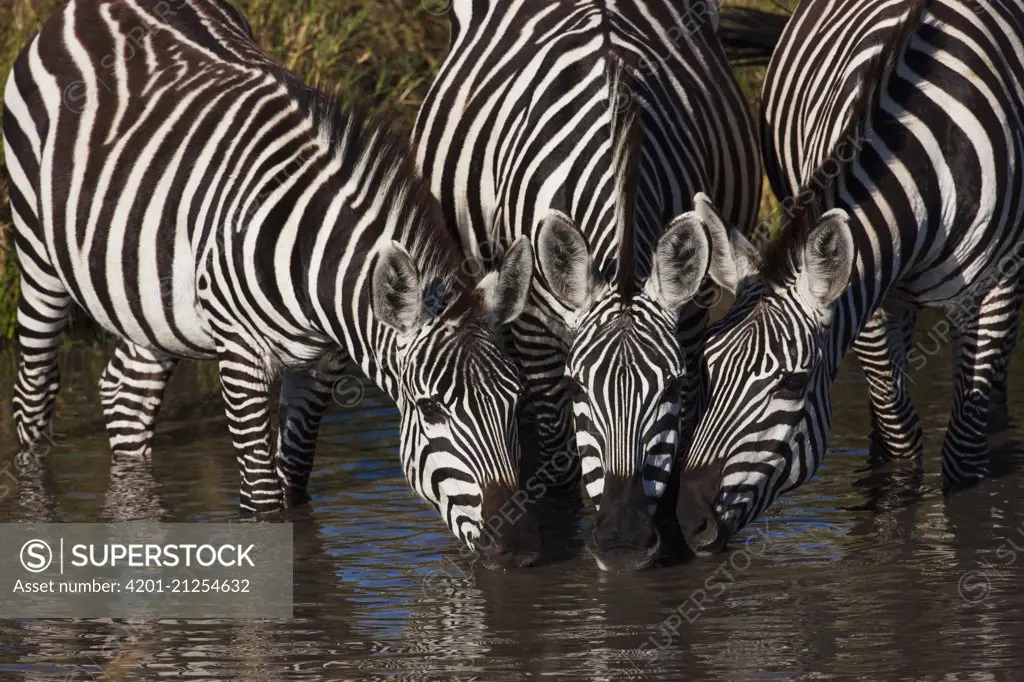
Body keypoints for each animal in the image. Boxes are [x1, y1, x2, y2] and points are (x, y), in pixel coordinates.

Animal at [4, 0, 540, 561]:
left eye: (515, 398)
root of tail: (94, 6)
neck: (313, 264)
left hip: (147, 298)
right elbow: (262, 505)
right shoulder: (243, 359)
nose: (519, 546)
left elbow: (295, 483)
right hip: (37, 252)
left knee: (126, 392)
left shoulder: (323, 364)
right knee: (34, 393)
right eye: (431, 408)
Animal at [411, 0, 765, 569]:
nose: (622, 543)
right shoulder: (534, 329)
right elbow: (559, 463)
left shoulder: (690, 322)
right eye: (579, 387)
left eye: (670, 386)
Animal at [675, 1, 1024, 552]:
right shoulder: (868, 299)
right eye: (707, 366)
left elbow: (962, 455)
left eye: (793, 383)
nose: (689, 522)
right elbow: (902, 436)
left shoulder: (996, 287)